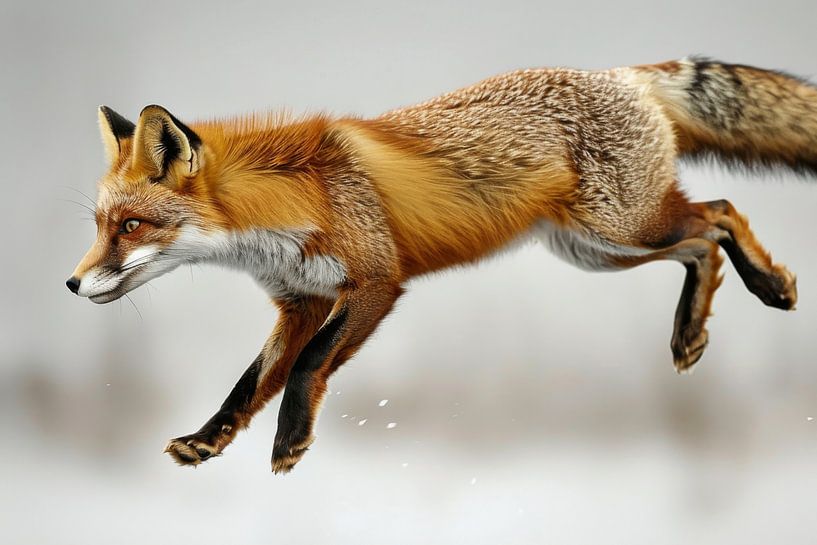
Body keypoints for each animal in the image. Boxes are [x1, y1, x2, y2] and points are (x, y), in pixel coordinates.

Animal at [67, 57, 813, 473]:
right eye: (100, 225)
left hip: (622, 227)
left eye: (131, 226)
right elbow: (248, 384)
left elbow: (307, 367)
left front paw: (289, 443)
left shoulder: (375, 283)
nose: (72, 283)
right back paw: (692, 330)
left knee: (719, 214)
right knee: (702, 242)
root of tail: (623, 75)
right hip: (598, 251)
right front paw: (206, 440)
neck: (288, 205)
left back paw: (770, 285)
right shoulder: (302, 300)